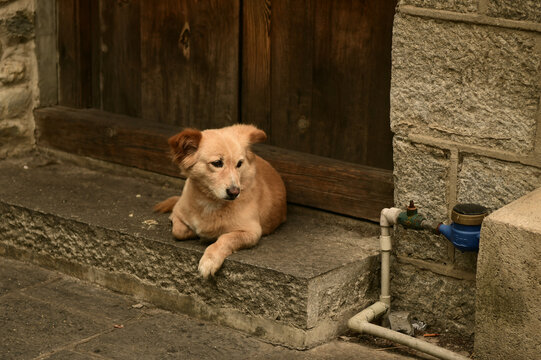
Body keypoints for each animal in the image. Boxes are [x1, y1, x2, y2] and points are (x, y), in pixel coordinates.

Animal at [153, 124, 286, 278]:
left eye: (239, 164)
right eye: (217, 163)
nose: (235, 192)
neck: (210, 202)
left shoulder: (252, 232)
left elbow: (225, 239)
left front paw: (210, 259)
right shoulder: (179, 213)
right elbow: (178, 231)